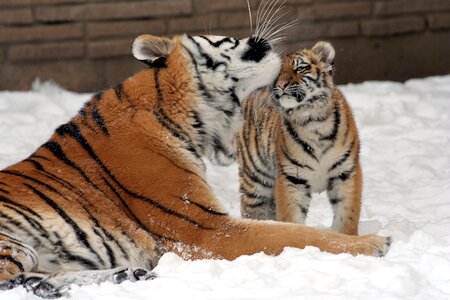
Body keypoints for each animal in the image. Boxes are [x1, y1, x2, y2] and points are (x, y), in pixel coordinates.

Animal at [0, 34, 386, 298]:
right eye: (228, 39)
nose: (261, 39)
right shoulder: (207, 228)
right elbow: (298, 235)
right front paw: (373, 243)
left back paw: (124, 275)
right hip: (13, 242)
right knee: (14, 282)